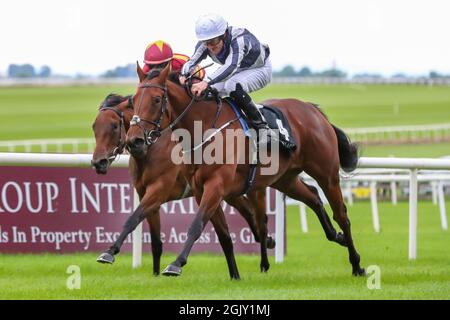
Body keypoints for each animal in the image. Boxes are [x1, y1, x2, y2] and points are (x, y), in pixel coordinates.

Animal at [91, 92, 272, 276]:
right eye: (94, 127)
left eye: (114, 126)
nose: (98, 162)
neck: (152, 150)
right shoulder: (146, 195)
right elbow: (155, 241)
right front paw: (155, 275)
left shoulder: (158, 191)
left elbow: (133, 218)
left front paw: (109, 253)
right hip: (227, 191)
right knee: (249, 212)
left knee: (259, 217)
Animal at [126, 63, 366, 278]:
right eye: (134, 100)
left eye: (156, 100)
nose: (134, 141)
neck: (205, 127)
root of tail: (313, 110)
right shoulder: (201, 190)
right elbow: (223, 235)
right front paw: (235, 275)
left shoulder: (215, 186)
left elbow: (197, 225)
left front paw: (175, 265)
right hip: (284, 179)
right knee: (313, 197)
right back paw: (336, 236)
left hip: (327, 174)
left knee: (341, 215)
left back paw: (356, 264)